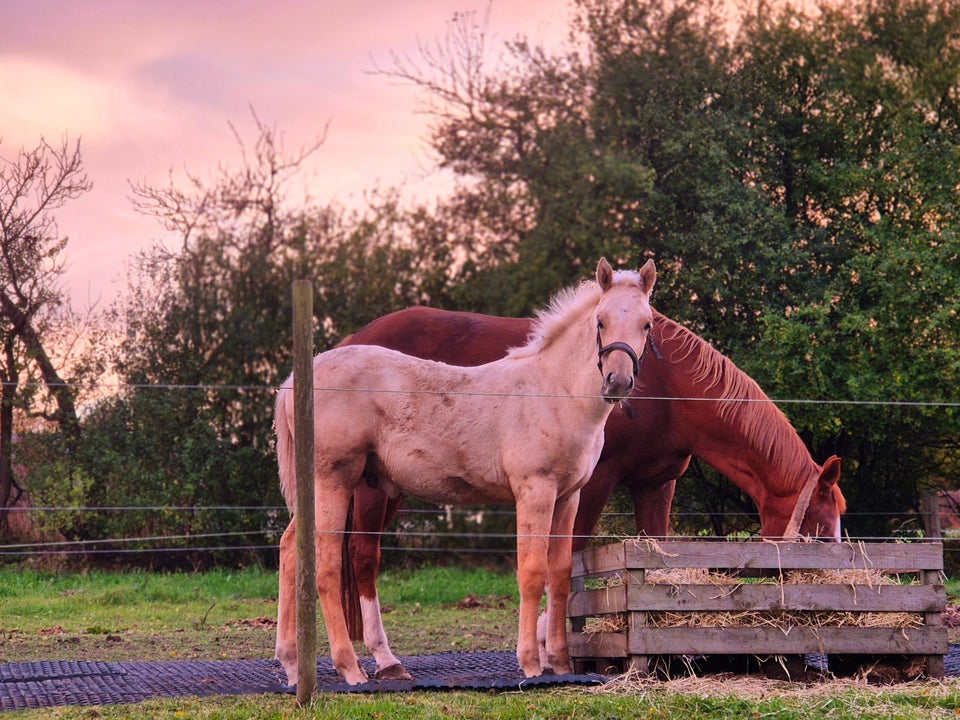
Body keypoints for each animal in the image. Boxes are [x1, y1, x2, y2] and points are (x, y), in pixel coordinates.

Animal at [274, 258, 656, 688]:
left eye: (646, 324)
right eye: (600, 321)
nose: (618, 381)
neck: (553, 391)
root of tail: (295, 381)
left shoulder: (567, 496)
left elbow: (559, 574)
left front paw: (559, 663)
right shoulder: (534, 491)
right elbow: (532, 571)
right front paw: (530, 663)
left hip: (319, 488)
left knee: (291, 550)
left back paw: (292, 665)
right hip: (335, 481)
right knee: (324, 565)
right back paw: (350, 668)